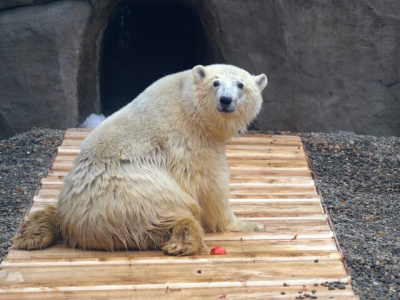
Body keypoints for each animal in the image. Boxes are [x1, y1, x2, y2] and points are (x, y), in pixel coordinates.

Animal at [14, 63, 268, 255]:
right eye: (215, 83)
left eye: (240, 85)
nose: (225, 100)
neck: (189, 104)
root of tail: (76, 225)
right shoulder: (191, 142)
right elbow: (210, 187)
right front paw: (250, 224)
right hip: (136, 197)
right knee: (165, 216)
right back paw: (182, 241)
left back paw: (31, 234)